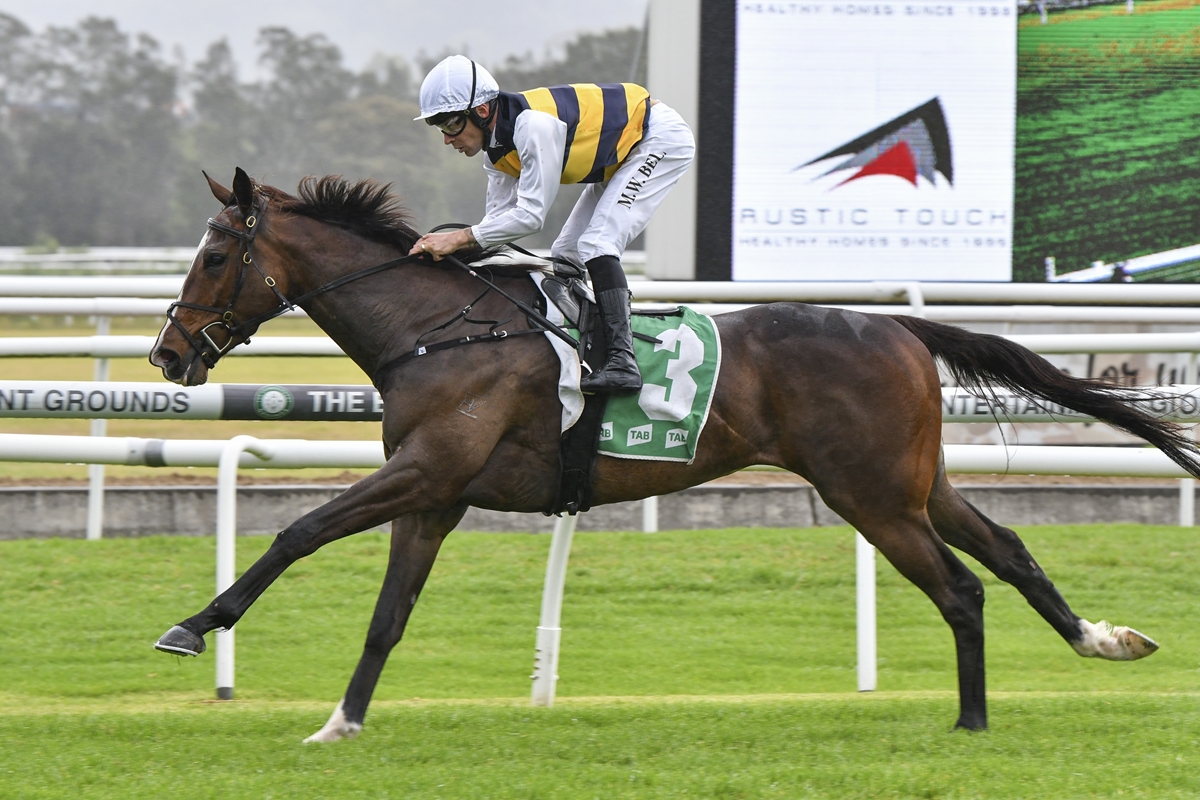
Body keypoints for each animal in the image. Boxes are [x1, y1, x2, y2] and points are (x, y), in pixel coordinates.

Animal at [150, 168, 1198, 743]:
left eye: (214, 257)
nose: (166, 353)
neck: (439, 332)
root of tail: (899, 324)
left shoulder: (426, 470)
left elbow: (300, 530)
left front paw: (196, 625)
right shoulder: (435, 495)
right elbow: (387, 617)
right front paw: (341, 722)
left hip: (871, 497)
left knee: (962, 588)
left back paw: (972, 720)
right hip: (915, 484)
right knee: (1009, 552)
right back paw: (1101, 639)